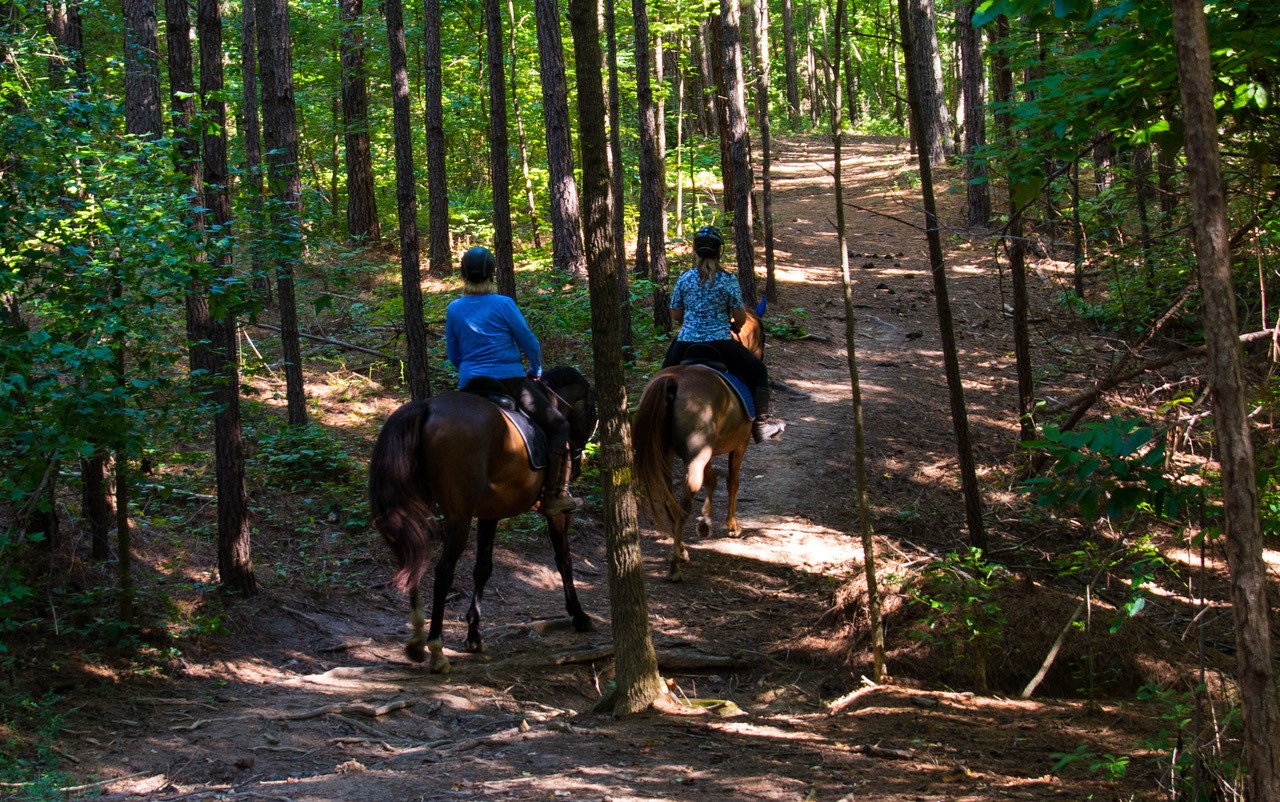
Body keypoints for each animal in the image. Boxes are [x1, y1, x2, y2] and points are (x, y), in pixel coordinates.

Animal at [366, 368, 593, 675]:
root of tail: (426, 407)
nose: (578, 461)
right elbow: (564, 560)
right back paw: (436, 650)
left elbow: (482, 569)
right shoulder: (556, 513)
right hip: (459, 517)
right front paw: (579, 615)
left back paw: (416, 640)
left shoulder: (490, 514)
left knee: (413, 558)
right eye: (593, 411)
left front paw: (474, 635)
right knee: (443, 571)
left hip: (416, 506)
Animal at [629, 309, 757, 583]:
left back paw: (681, 551)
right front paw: (731, 526)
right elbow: (731, 481)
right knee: (684, 502)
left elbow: (714, 479)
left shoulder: (707, 452)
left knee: (670, 500)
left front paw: (706, 520)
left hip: (667, 454)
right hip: (695, 456)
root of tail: (672, 381)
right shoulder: (739, 445)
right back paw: (675, 565)